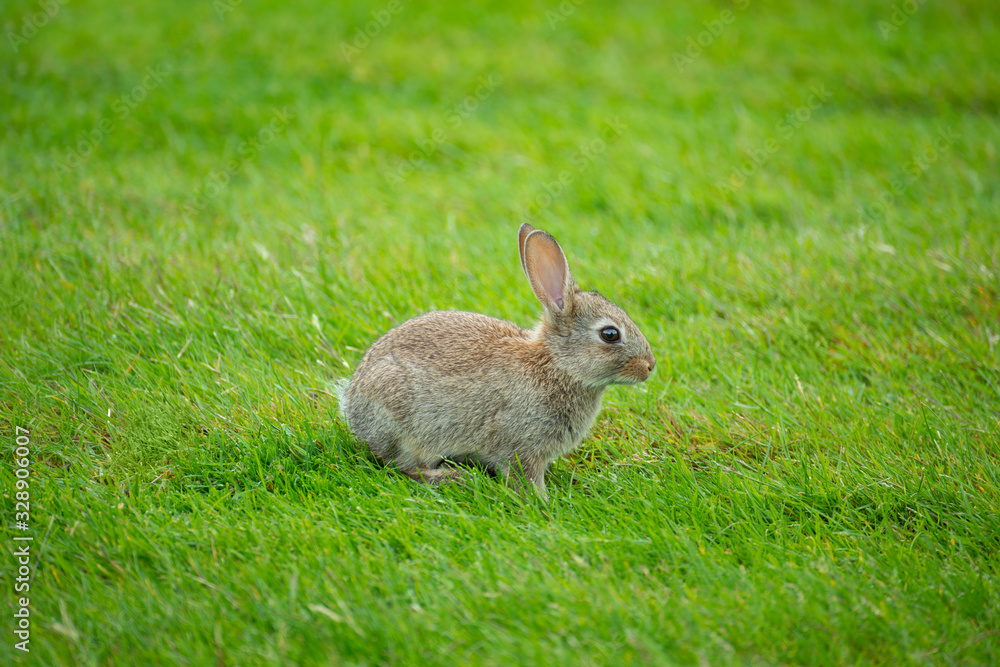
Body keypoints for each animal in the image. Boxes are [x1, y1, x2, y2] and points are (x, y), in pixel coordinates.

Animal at [336, 223, 655, 500]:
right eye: (610, 334)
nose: (650, 366)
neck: (557, 365)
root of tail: (351, 403)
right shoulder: (520, 445)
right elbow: (524, 477)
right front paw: (543, 502)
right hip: (404, 427)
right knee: (401, 467)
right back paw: (452, 477)